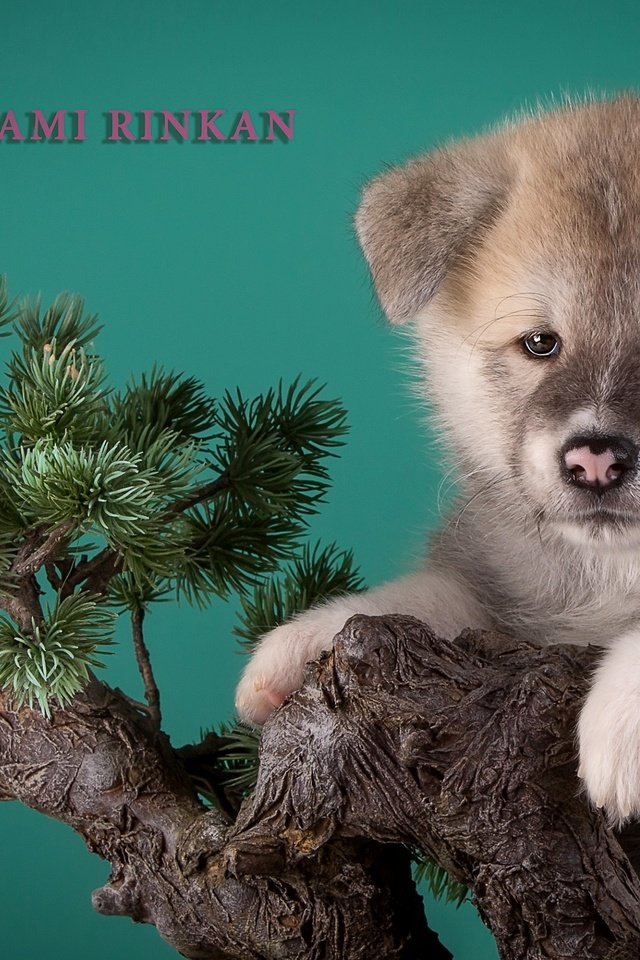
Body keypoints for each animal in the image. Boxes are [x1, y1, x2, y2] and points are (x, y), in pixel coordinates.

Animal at [235, 95, 640, 824]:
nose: (595, 461)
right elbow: (428, 601)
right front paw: (313, 636)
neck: (606, 573)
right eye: (541, 343)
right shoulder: (509, 617)